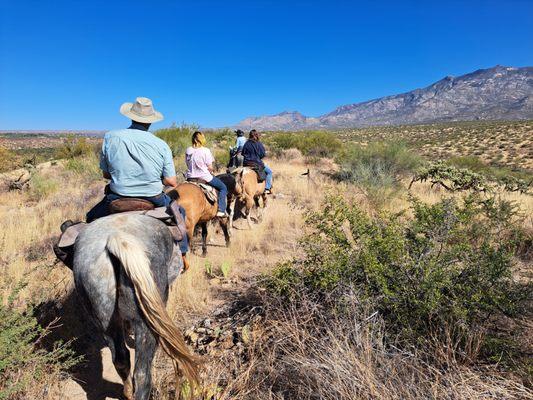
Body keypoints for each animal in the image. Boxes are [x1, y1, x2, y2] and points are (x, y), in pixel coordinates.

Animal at [73, 214, 200, 400]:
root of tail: (115, 239)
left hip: (105, 320)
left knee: (121, 359)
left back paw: (127, 392)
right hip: (144, 323)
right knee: (141, 374)